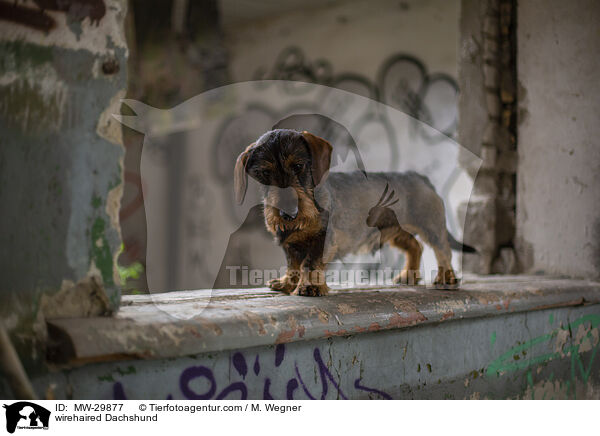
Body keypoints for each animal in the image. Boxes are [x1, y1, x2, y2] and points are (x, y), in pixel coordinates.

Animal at [234, 127, 474, 296]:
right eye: (264, 173)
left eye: (298, 166)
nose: (288, 214)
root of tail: (420, 177)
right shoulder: (290, 242)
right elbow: (293, 264)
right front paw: (286, 283)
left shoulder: (323, 239)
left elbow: (309, 263)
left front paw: (310, 287)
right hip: (394, 230)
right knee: (415, 245)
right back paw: (408, 276)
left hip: (430, 226)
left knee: (443, 250)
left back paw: (445, 277)